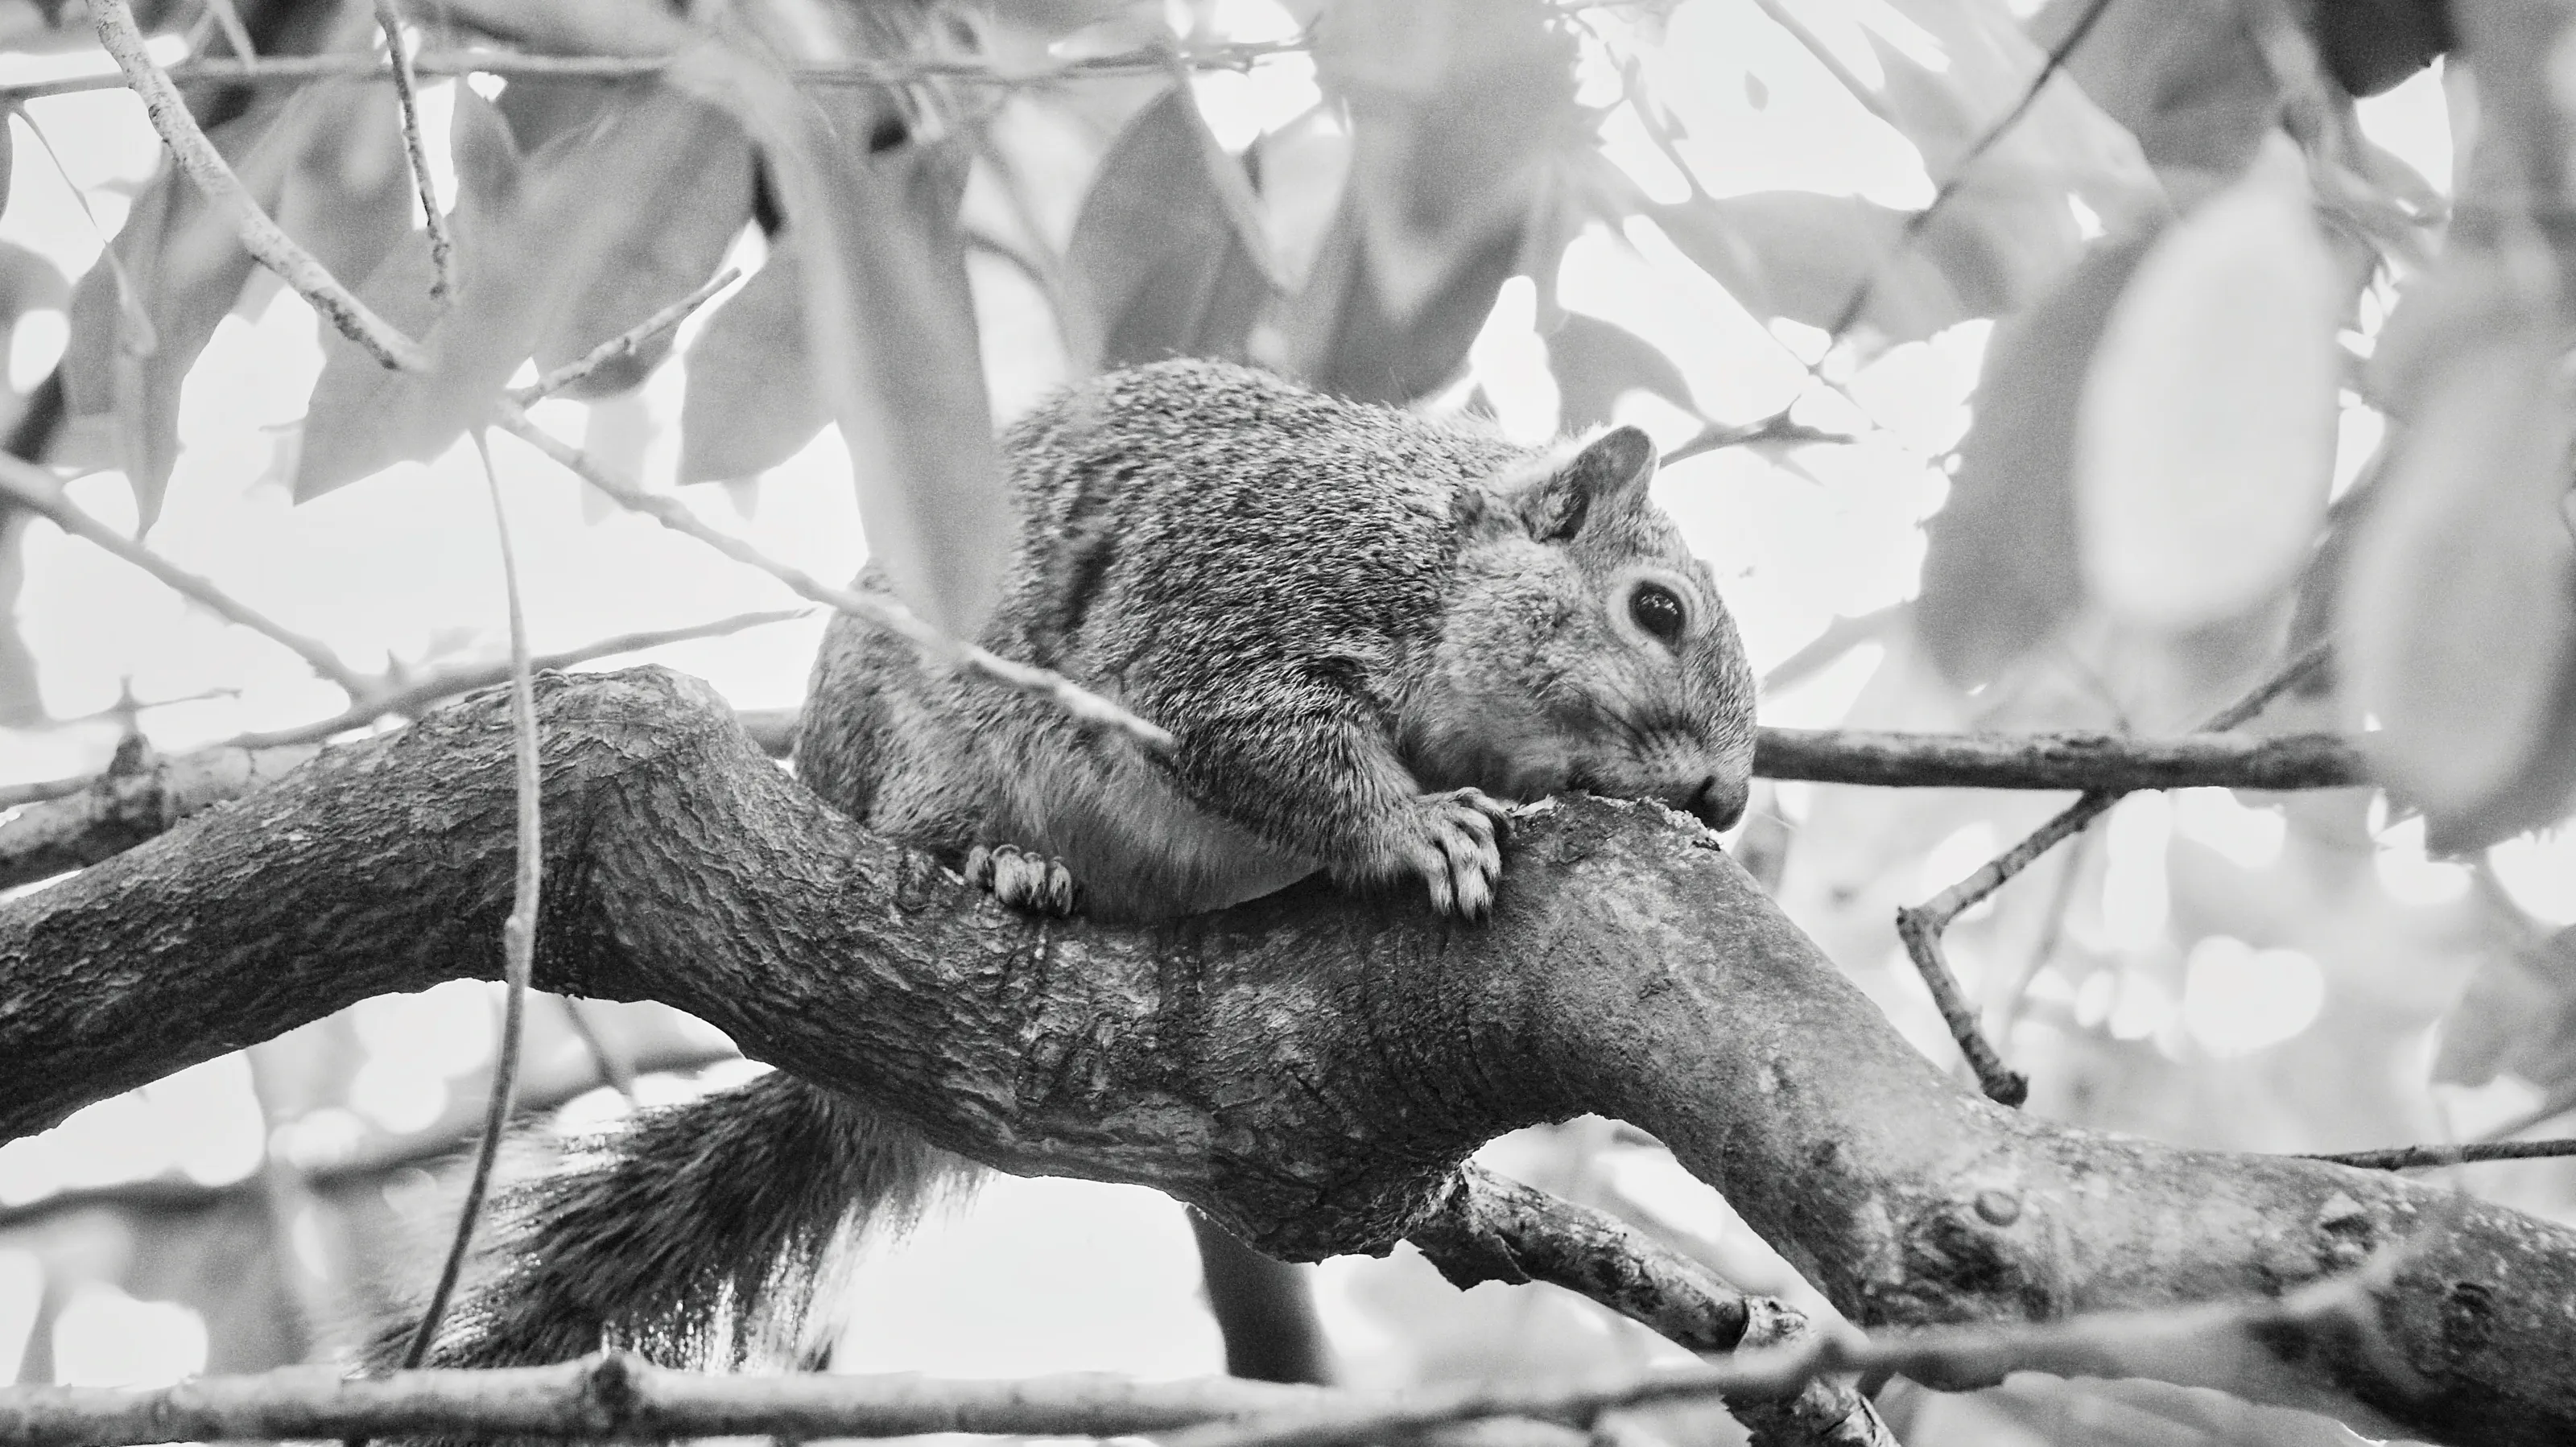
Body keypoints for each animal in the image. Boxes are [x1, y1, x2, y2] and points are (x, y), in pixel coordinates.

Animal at [394, 358, 1758, 1374]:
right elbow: (1264, 748)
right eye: (1659, 610)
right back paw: (1004, 863)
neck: (1435, 543)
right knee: (924, 824)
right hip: (923, 749)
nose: (1728, 798)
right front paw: (1418, 828)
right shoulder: (1237, 610)